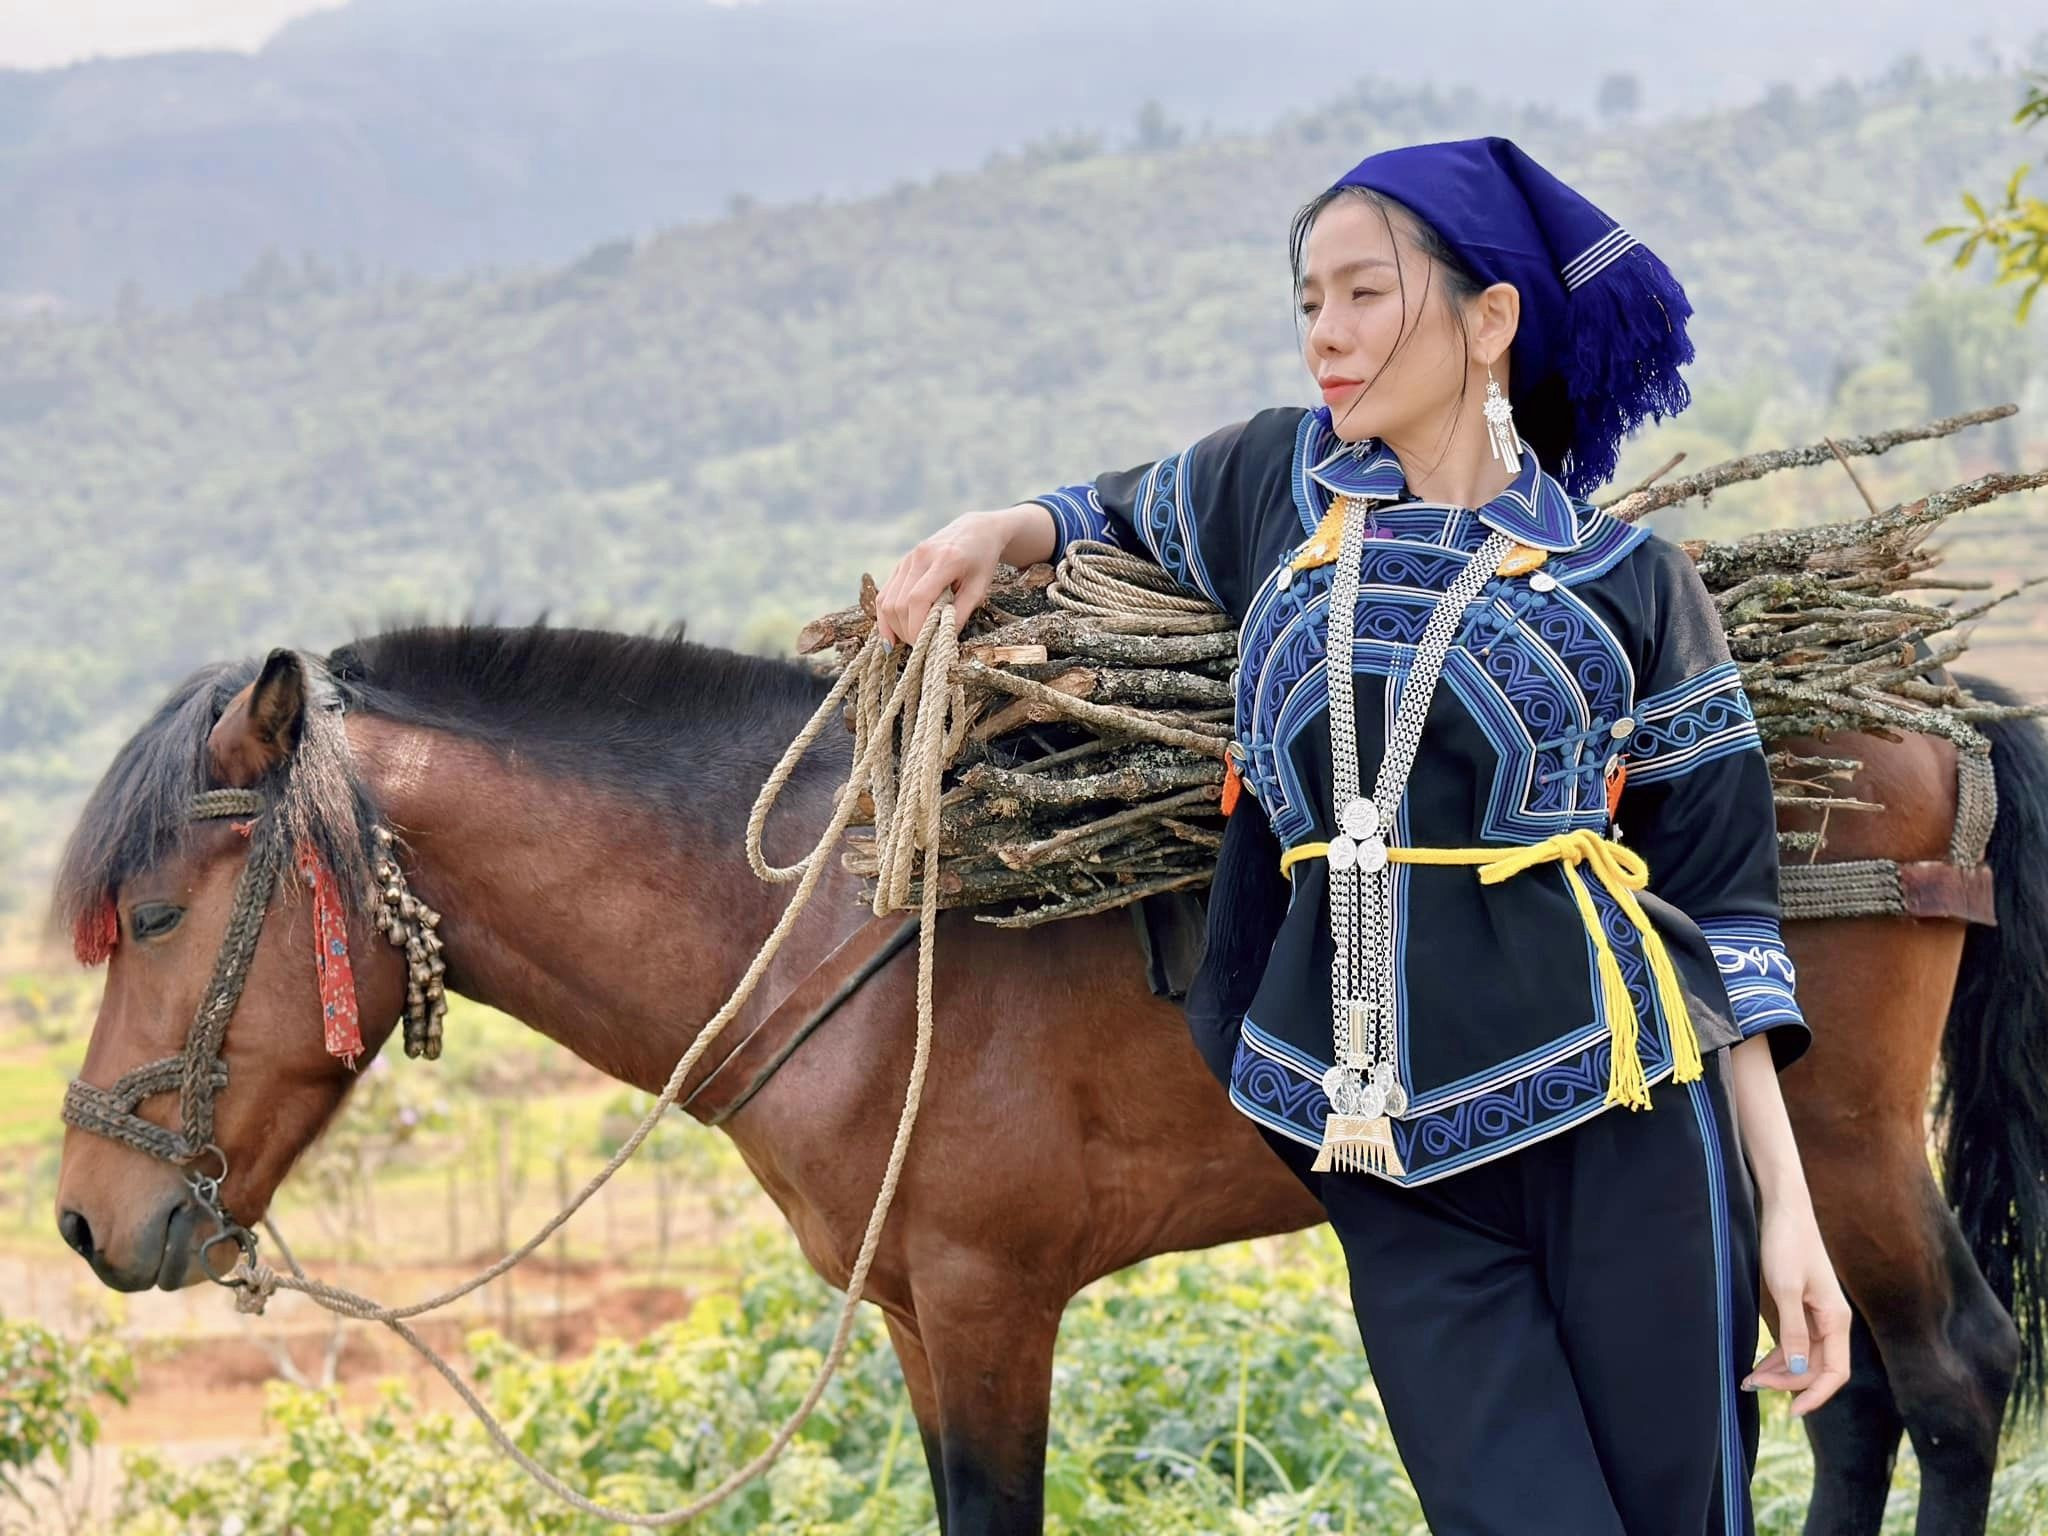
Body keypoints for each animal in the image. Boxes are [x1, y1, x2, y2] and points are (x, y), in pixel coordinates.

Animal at [48, 626, 2048, 1536]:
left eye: (156, 910)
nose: (80, 1219)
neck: (818, 909)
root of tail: (1939, 702)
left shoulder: (996, 1300)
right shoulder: (924, 1319)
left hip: (1841, 1135)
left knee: (1950, 1377)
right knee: (1842, 1397)